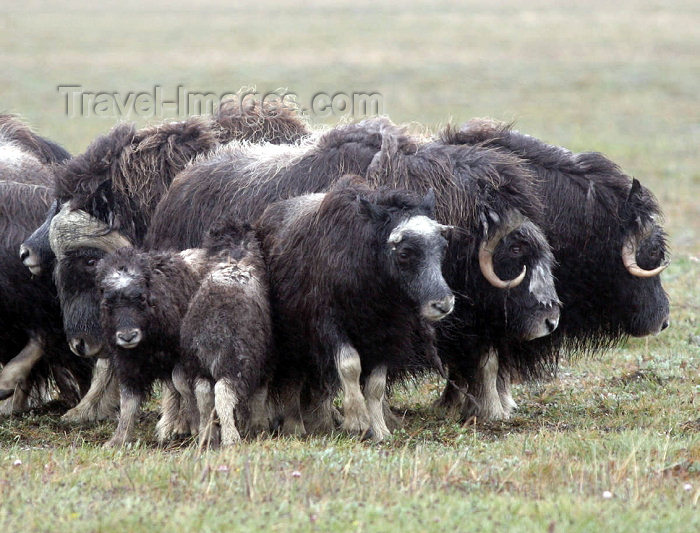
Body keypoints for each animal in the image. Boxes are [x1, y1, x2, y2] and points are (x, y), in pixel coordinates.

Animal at [258, 177, 454, 438]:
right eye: (404, 252)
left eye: (443, 247)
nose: (443, 304)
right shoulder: (328, 323)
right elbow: (350, 365)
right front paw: (357, 422)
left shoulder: (389, 335)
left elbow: (376, 384)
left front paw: (380, 430)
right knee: (293, 378)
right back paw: (295, 427)